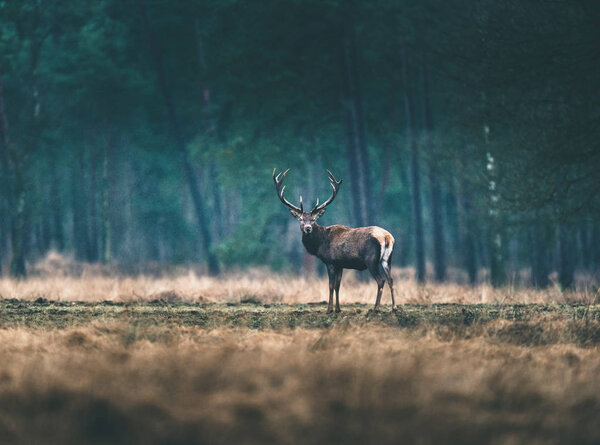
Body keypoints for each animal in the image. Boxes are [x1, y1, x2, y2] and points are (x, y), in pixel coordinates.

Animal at [274, 167, 396, 312]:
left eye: (314, 219)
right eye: (301, 219)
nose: (308, 228)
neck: (319, 244)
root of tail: (387, 237)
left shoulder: (330, 262)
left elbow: (331, 285)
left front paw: (329, 309)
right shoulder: (340, 264)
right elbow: (338, 285)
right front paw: (338, 309)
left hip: (371, 260)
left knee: (381, 280)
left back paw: (376, 308)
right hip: (387, 260)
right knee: (391, 279)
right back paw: (394, 307)